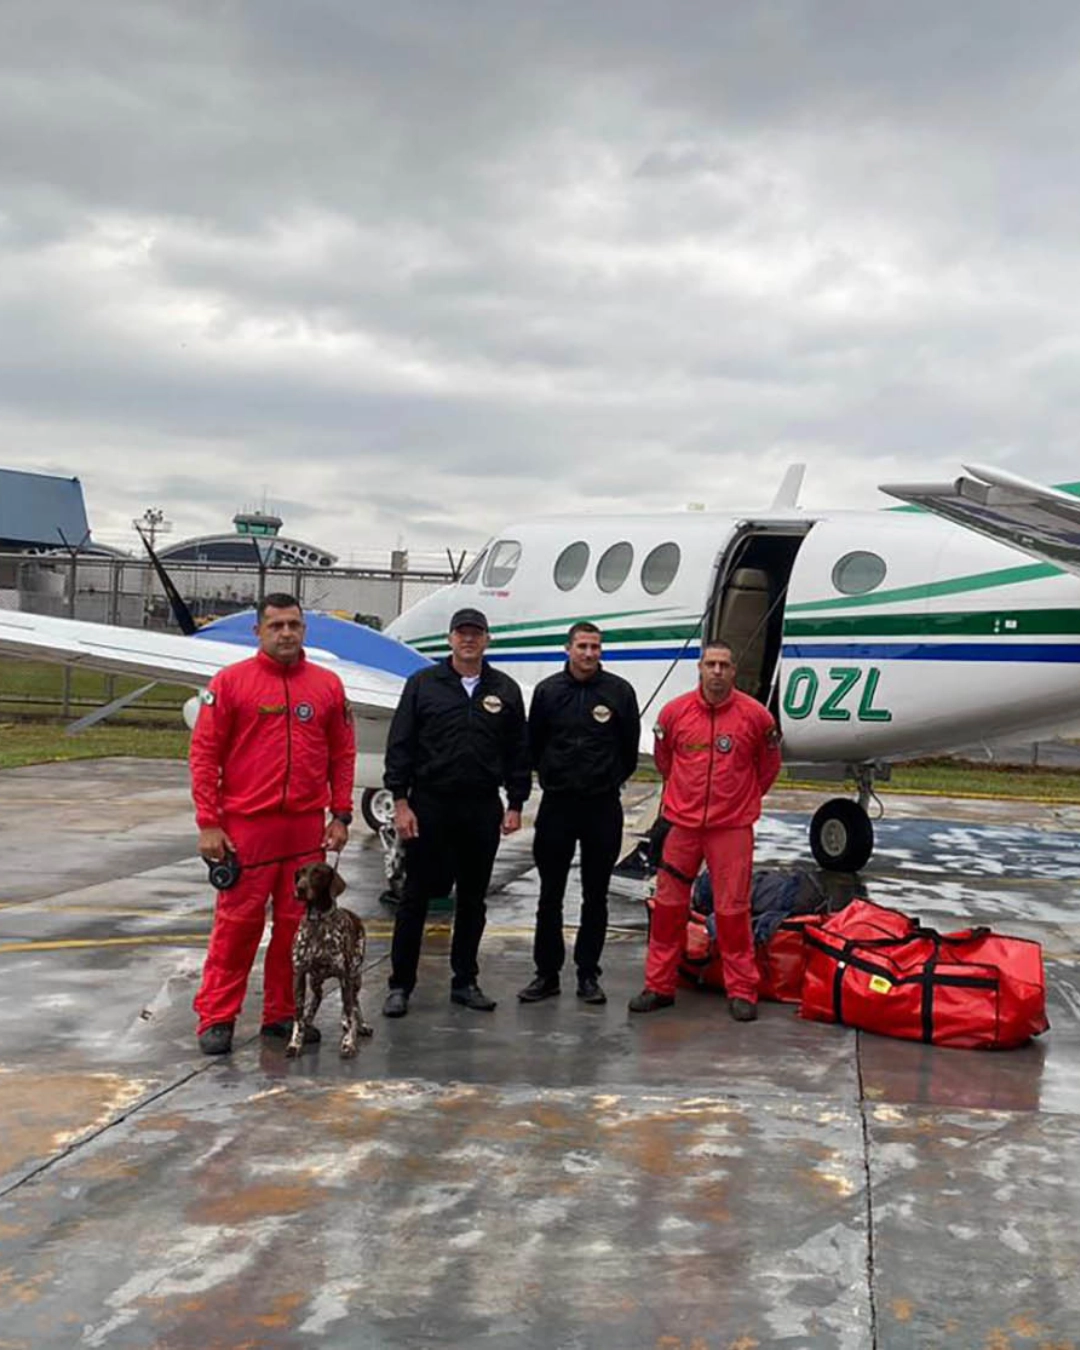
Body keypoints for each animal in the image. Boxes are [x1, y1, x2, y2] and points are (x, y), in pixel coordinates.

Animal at [286, 864, 372, 1053]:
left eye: (317, 873)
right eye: (300, 874)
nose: (300, 889)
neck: (318, 922)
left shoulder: (344, 977)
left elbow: (349, 1011)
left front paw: (348, 1042)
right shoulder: (299, 975)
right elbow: (298, 1014)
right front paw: (295, 1042)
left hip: (355, 976)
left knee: (354, 1003)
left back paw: (360, 1025)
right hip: (315, 980)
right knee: (316, 1000)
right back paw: (309, 1022)